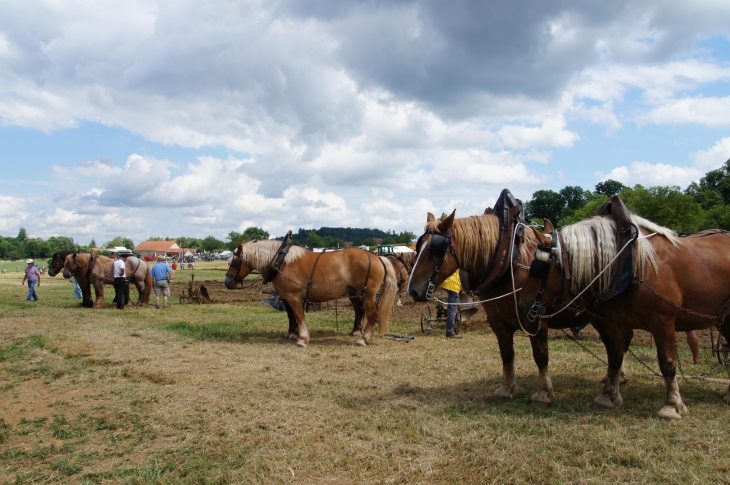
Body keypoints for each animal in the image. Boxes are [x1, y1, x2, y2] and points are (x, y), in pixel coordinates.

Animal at [225, 240, 396, 346]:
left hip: (367, 294)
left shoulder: (294, 297)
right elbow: (291, 316)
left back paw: (364, 339)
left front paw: (302, 339)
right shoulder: (286, 297)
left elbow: (299, 316)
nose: (227, 282)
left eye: (235, 261)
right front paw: (293, 334)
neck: (282, 261)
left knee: (372, 313)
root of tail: (376, 256)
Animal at [406, 211, 612, 404]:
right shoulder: (497, 321)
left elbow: (540, 355)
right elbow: (506, 354)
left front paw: (544, 392)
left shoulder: (535, 320)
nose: (412, 290)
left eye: (436, 249)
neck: (508, 263)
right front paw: (507, 388)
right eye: (418, 247)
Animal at [516, 203, 728, 416]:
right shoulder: (615, 322)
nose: (523, 303)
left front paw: (672, 405)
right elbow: (615, 358)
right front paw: (607, 397)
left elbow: (667, 362)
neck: (633, 266)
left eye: (540, 267)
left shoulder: (663, 321)